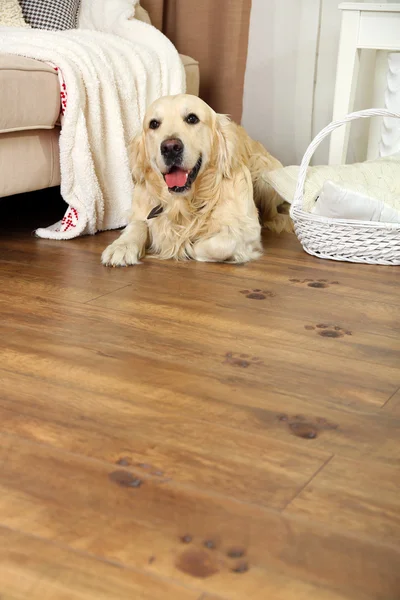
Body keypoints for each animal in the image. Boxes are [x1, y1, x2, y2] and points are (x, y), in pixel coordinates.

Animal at [101, 94, 290, 268]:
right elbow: (137, 225)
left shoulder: (247, 229)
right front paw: (121, 247)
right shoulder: (142, 212)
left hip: (262, 170)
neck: (184, 203)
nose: (170, 147)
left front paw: (186, 247)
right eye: (154, 124)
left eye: (192, 118)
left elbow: (217, 244)